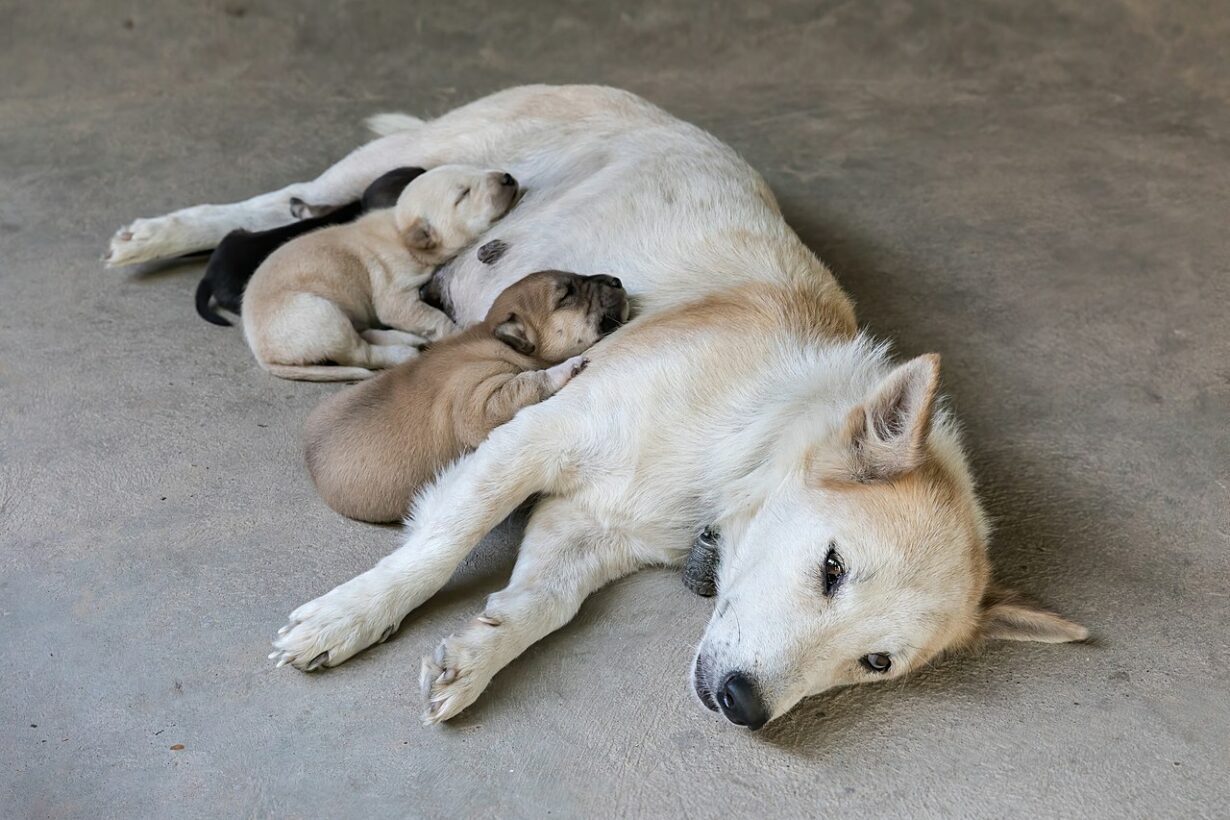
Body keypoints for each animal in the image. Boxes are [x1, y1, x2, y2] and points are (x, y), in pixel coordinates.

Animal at [242, 167, 521, 386]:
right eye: (463, 194)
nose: (507, 177)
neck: (401, 231)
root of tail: (261, 354)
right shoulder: (393, 282)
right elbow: (417, 314)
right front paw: (458, 332)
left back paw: (406, 338)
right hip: (315, 316)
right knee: (358, 352)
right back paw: (402, 352)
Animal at [298, 270, 624, 526]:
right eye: (567, 294)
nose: (617, 280)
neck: (495, 336)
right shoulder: (480, 403)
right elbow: (530, 381)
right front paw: (566, 367)